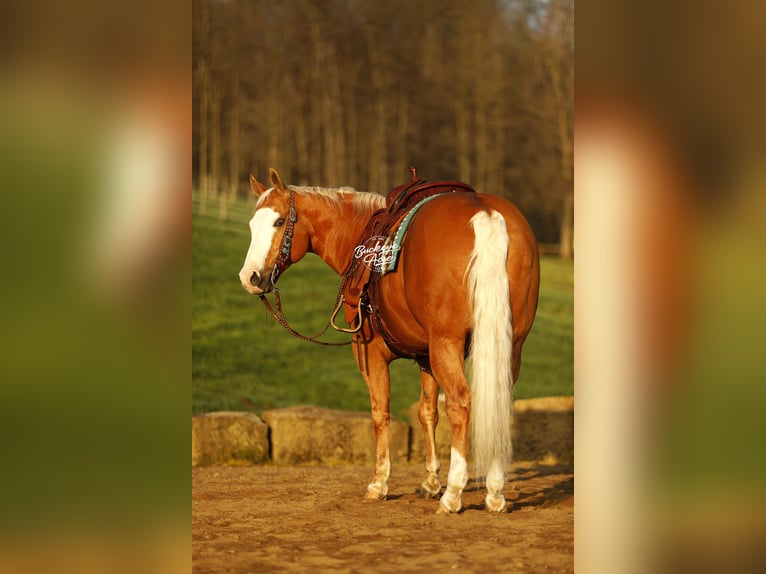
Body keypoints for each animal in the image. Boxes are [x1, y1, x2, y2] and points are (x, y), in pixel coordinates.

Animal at [239, 168, 540, 513]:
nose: (250, 277)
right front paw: (430, 482)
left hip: (447, 344)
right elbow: (427, 412)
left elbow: (380, 412)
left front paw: (379, 483)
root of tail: (485, 215)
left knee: (460, 403)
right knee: (497, 403)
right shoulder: (426, 357)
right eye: (252, 225)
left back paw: (453, 494)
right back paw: (494, 492)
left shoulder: (372, 354)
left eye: (278, 221)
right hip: (508, 345)